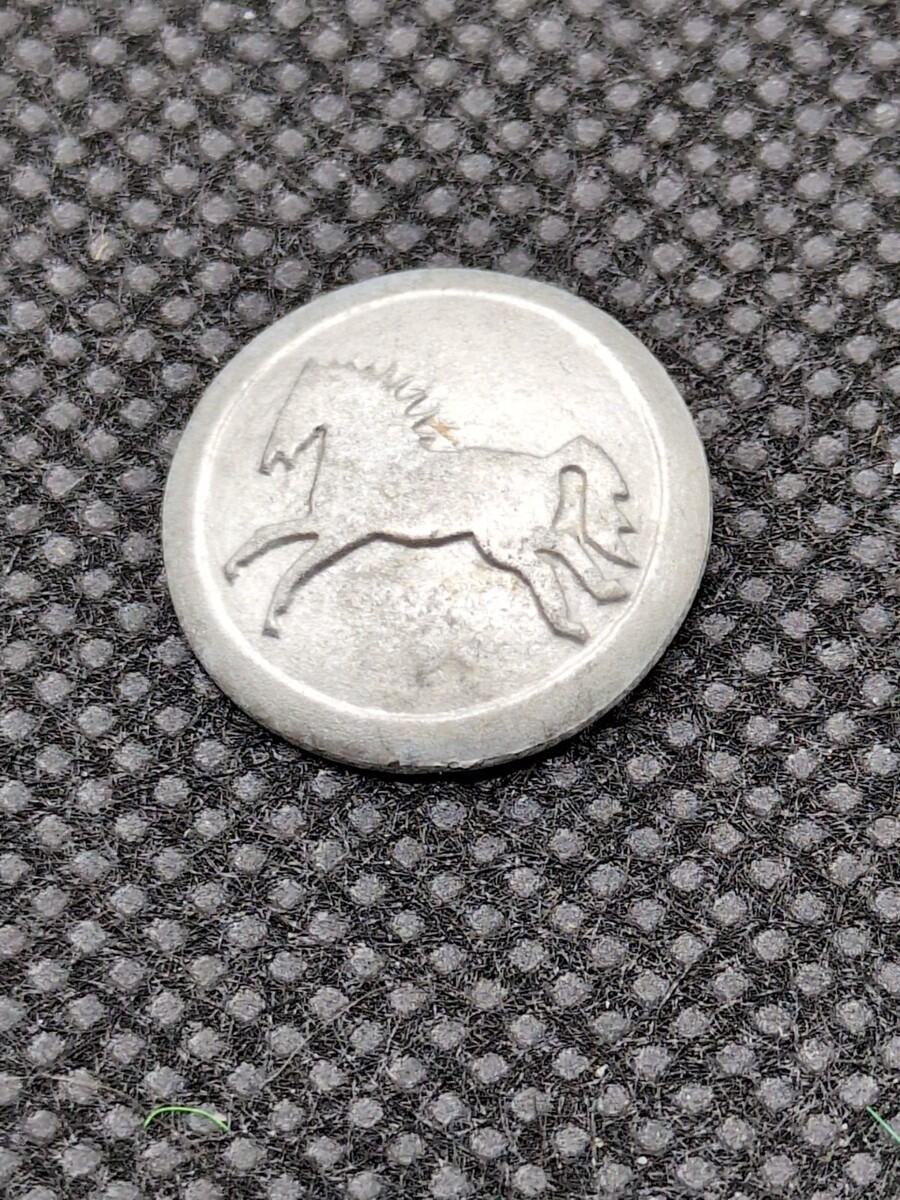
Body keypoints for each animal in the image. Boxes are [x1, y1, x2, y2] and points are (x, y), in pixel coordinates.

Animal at [224, 361, 638, 643]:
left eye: (296, 403)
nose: (272, 458)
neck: (372, 458)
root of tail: (546, 463)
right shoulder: (324, 523)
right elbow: (266, 533)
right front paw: (233, 568)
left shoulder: (340, 530)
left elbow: (293, 565)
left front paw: (273, 616)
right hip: (520, 533)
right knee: (565, 542)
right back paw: (608, 590)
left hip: (504, 541)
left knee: (544, 568)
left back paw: (570, 624)